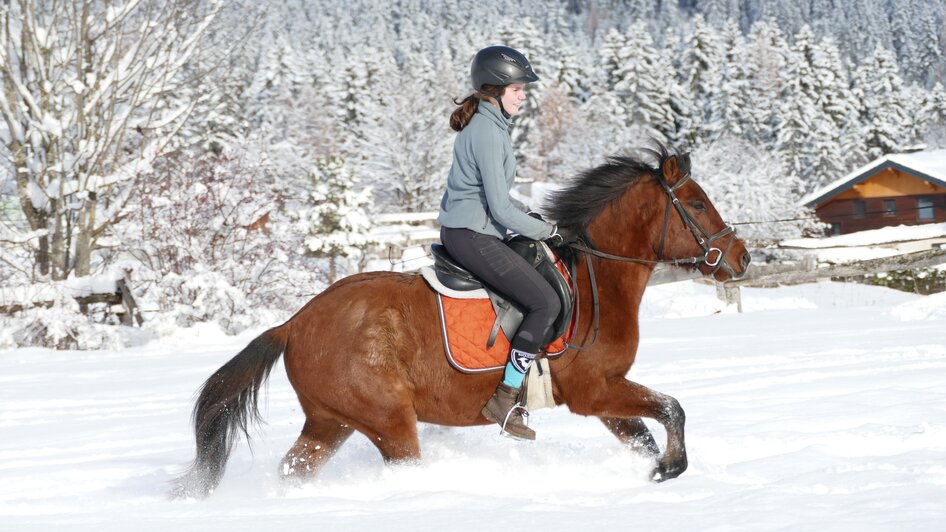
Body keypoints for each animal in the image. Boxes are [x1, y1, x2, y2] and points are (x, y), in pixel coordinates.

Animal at [170, 143, 744, 496]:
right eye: (697, 203)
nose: (741, 259)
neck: (594, 279)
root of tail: (293, 324)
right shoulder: (597, 391)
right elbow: (672, 409)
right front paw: (671, 468)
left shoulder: (603, 396)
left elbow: (646, 432)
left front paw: (655, 470)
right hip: (389, 424)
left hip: (329, 424)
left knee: (294, 470)